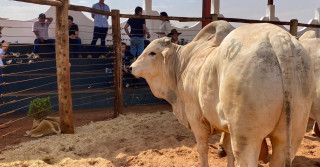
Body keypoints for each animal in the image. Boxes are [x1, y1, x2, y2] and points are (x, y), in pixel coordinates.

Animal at [129, 21, 314, 167]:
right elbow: (228, 149)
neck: (180, 65)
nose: (131, 67)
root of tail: (278, 38)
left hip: (246, 138)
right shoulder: (227, 127)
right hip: (291, 136)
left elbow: (202, 149)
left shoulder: (195, 118)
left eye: (152, 52)